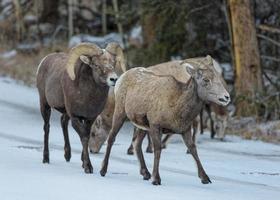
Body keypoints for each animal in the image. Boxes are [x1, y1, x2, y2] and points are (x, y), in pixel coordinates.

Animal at [36, 41, 124, 173]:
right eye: (96, 65)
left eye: (113, 63)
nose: (113, 79)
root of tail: (44, 60)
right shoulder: (75, 117)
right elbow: (84, 138)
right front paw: (88, 167)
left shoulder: (89, 118)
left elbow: (86, 136)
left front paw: (83, 163)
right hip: (45, 105)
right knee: (47, 128)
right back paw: (46, 159)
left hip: (65, 112)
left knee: (63, 122)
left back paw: (67, 156)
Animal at [99, 55, 231, 185]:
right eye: (205, 80)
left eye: (218, 78)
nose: (226, 97)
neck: (177, 105)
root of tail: (123, 77)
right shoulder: (156, 126)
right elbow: (157, 149)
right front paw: (156, 179)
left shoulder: (185, 130)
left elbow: (193, 149)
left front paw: (205, 178)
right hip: (120, 114)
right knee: (111, 139)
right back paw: (103, 170)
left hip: (142, 126)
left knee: (137, 143)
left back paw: (145, 173)